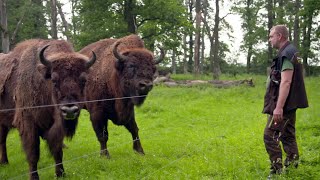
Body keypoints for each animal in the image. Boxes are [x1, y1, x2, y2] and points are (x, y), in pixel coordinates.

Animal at [0, 38, 96, 179]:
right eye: (54, 80)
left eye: (83, 80)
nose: (69, 111)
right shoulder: (28, 124)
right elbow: (33, 154)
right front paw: (34, 177)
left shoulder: (56, 127)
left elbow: (57, 150)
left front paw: (61, 173)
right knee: (2, 140)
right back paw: (4, 162)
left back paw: (5, 162)